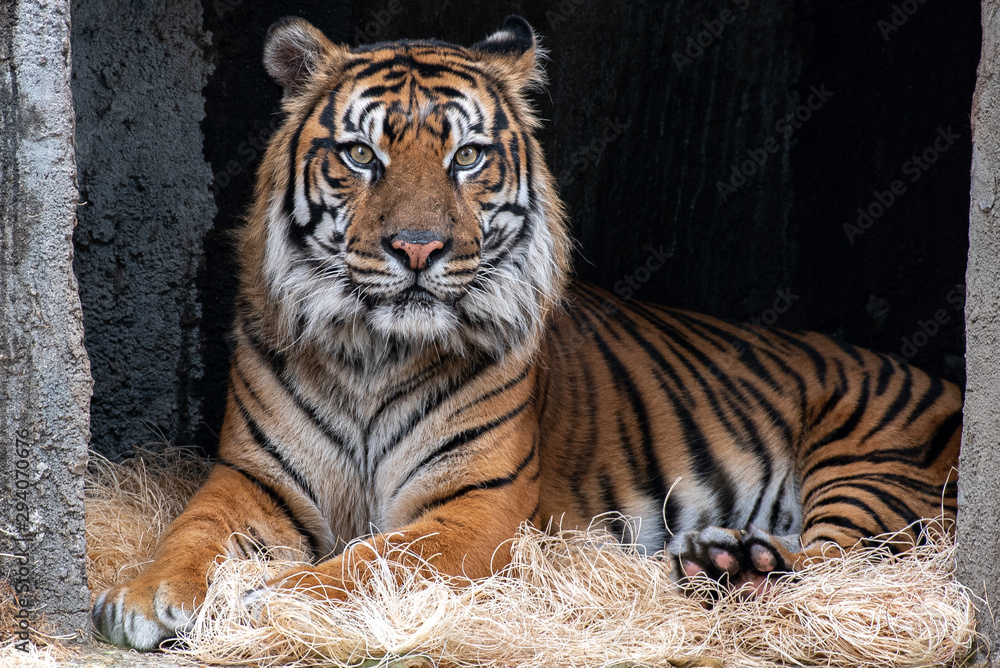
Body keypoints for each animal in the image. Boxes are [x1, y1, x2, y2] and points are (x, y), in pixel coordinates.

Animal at [92, 15, 962, 650]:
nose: (418, 248)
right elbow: (189, 531)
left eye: (469, 157)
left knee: (837, 562)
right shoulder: (253, 478)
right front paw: (139, 597)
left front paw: (267, 597)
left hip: (871, 471)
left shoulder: (474, 511)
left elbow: (374, 558)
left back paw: (738, 565)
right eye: (362, 155)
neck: (374, 352)